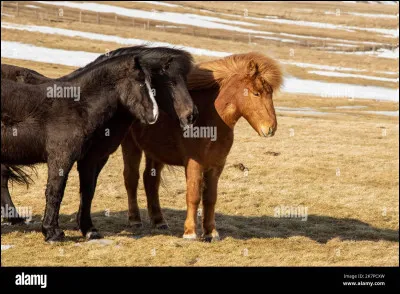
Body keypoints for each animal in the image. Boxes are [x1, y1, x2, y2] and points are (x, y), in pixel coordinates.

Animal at [122, 52, 282, 241]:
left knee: (151, 181)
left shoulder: (216, 166)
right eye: (256, 93)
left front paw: (211, 232)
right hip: (131, 145)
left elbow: (210, 198)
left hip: (155, 153)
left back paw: (159, 221)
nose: (271, 128)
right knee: (131, 179)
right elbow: (193, 195)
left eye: (270, 93)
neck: (210, 121)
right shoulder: (194, 164)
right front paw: (190, 232)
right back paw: (134, 220)